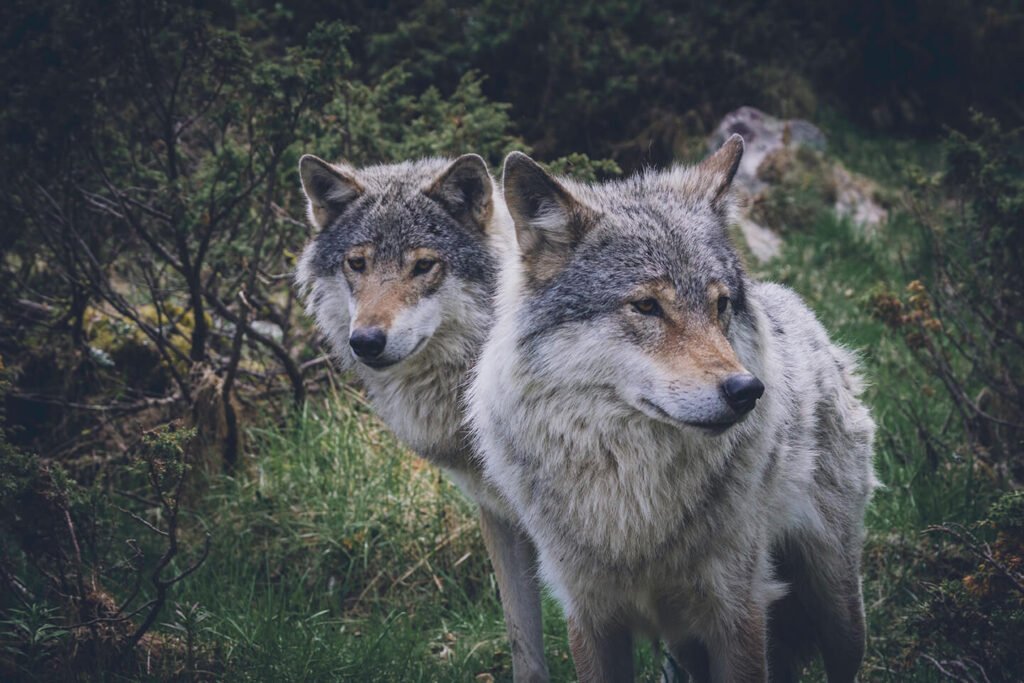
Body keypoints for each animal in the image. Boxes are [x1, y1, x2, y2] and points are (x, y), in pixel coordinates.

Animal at [468, 136, 877, 682]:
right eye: (646, 306)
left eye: (720, 305)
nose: (748, 390)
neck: (634, 502)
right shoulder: (591, 620)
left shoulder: (739, 614)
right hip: (688, 646)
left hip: (837, 606)